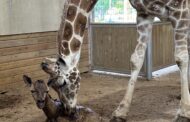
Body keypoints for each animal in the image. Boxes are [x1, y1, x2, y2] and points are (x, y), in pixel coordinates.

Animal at [41, 0, 190, 121]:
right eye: (52, 87)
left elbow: (180, 58)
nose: (69, 111)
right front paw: (120, 112)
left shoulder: (180, 10)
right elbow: (136, 59)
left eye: (62, 83)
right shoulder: (144, 13)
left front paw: (183, 113)